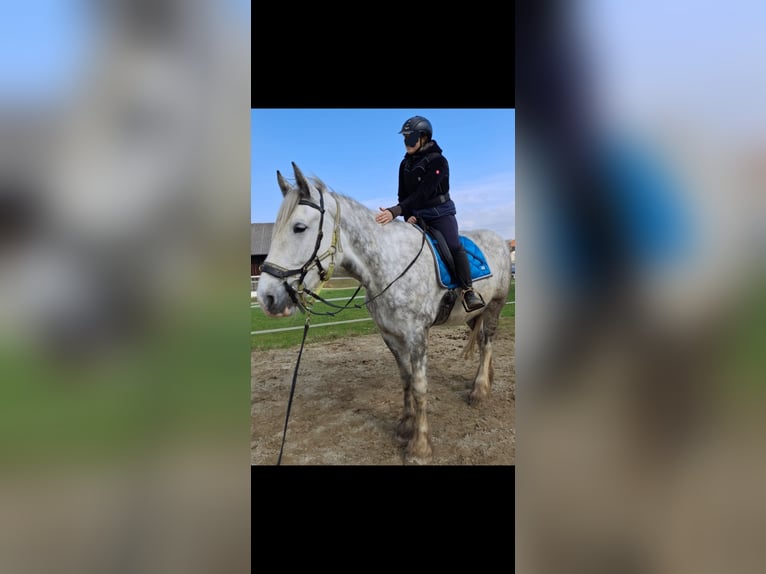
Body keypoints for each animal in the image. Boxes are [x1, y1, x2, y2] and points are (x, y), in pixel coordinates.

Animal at [256, 162, 513, 464]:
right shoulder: (390, 335)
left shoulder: (417, 335)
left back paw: (480, 390)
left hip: (495, 306)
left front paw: (420, 446)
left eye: (299, 228)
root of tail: (500, 240)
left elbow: (420, 385)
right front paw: (405, 426)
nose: (267, 297)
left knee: (487, 343)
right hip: (476, 313)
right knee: (484, 343)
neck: (389, 264)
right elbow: (405, 379)